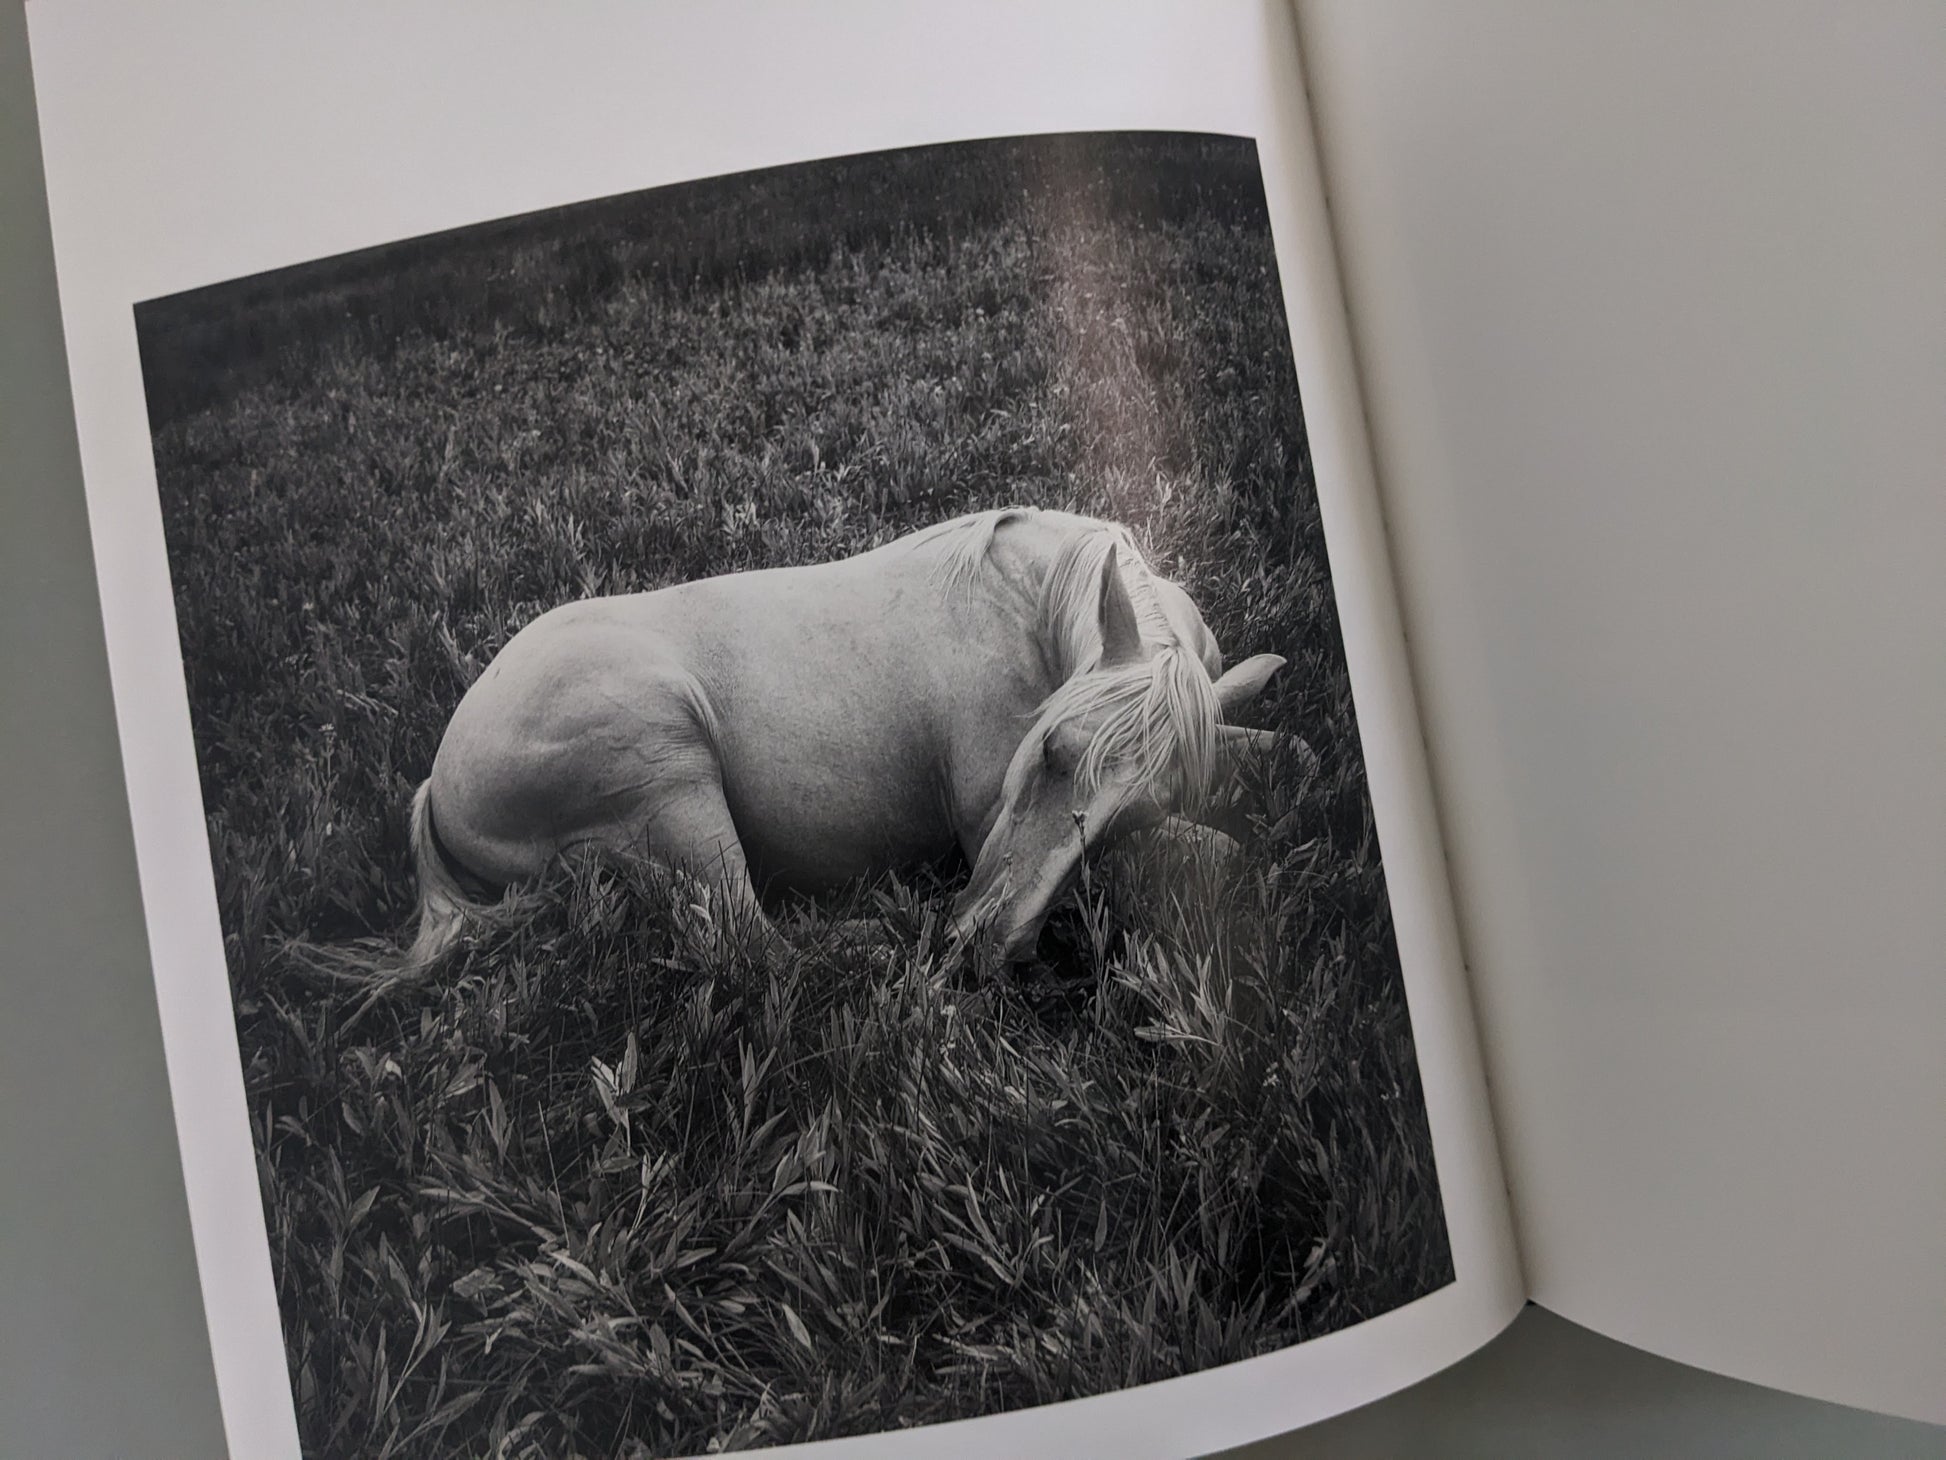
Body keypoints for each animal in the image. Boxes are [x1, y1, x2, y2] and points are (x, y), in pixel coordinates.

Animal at [406, 507, 1296, 969]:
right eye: (1050, 751)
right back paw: (876, 934)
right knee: (752, 938)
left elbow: (1285, 755)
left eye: (1133, 807)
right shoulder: (983, 820)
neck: (1030, 604)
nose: (985, 946)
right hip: (669, 775)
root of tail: (439, 784)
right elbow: (1221, 850)